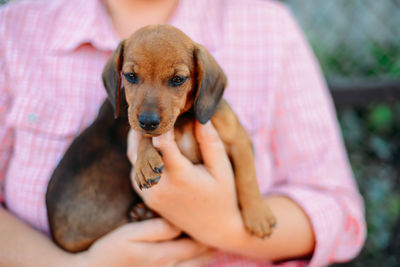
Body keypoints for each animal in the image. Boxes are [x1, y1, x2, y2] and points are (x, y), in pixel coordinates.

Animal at [46, 24, 276, 253]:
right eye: (130, 76)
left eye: (178, 79)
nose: (148, 121)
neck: (183, 120)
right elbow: (143, 137)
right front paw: (145, 161)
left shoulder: (238, 140)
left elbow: (247, 177)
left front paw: (258, 214)